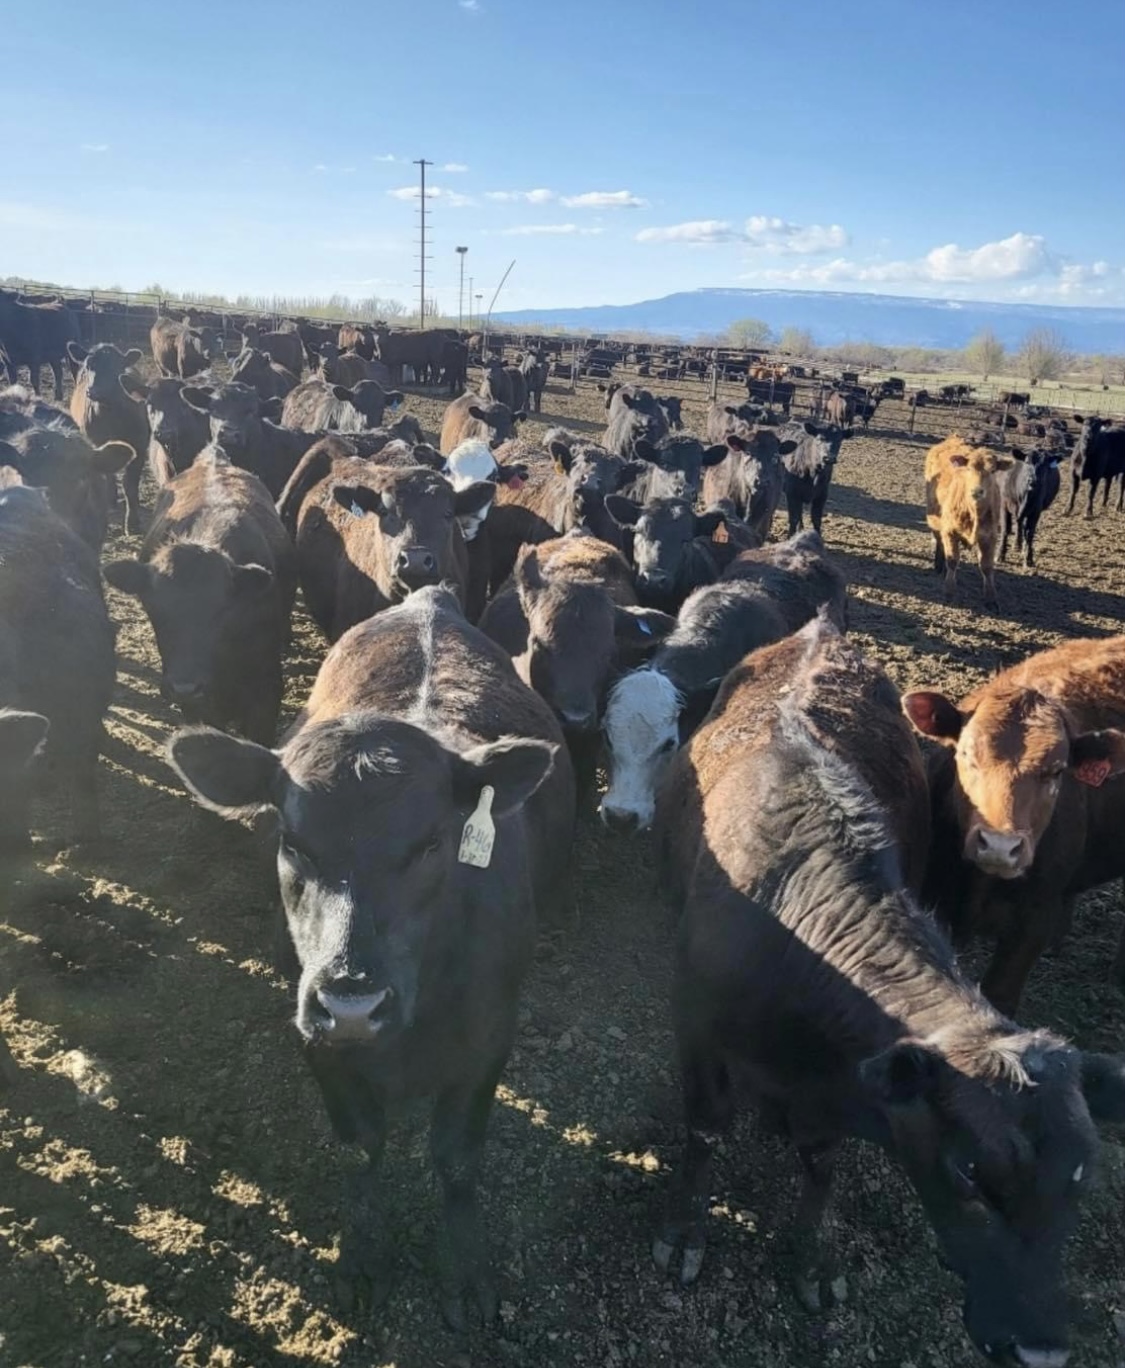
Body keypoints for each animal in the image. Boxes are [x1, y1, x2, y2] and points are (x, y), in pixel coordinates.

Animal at [66, 342, 149, 535]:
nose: (95, 391)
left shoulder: (140, 445)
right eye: (88, 367)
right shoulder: (97, 444)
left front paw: (132, 523)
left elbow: (130, 484)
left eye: (116, 367)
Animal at [167, 584, 575, 1327]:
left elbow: (457, 1160)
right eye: (291, 841)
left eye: (433, 843)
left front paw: (466, 1271)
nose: (352, 1002)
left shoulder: (488, 1040)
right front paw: (360, 1255)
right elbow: (360, 1150)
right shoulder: (316, 1036)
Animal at [924, 435, 1010, 608]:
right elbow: (952, 560)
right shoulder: (949, 530)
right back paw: (939, 566)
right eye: (968, 469)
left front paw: (991, 598)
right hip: (935, 521)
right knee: (939, 542)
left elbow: (987, 566)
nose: (977, 491)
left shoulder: (989, 536)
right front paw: (949, 591)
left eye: (992, 471)